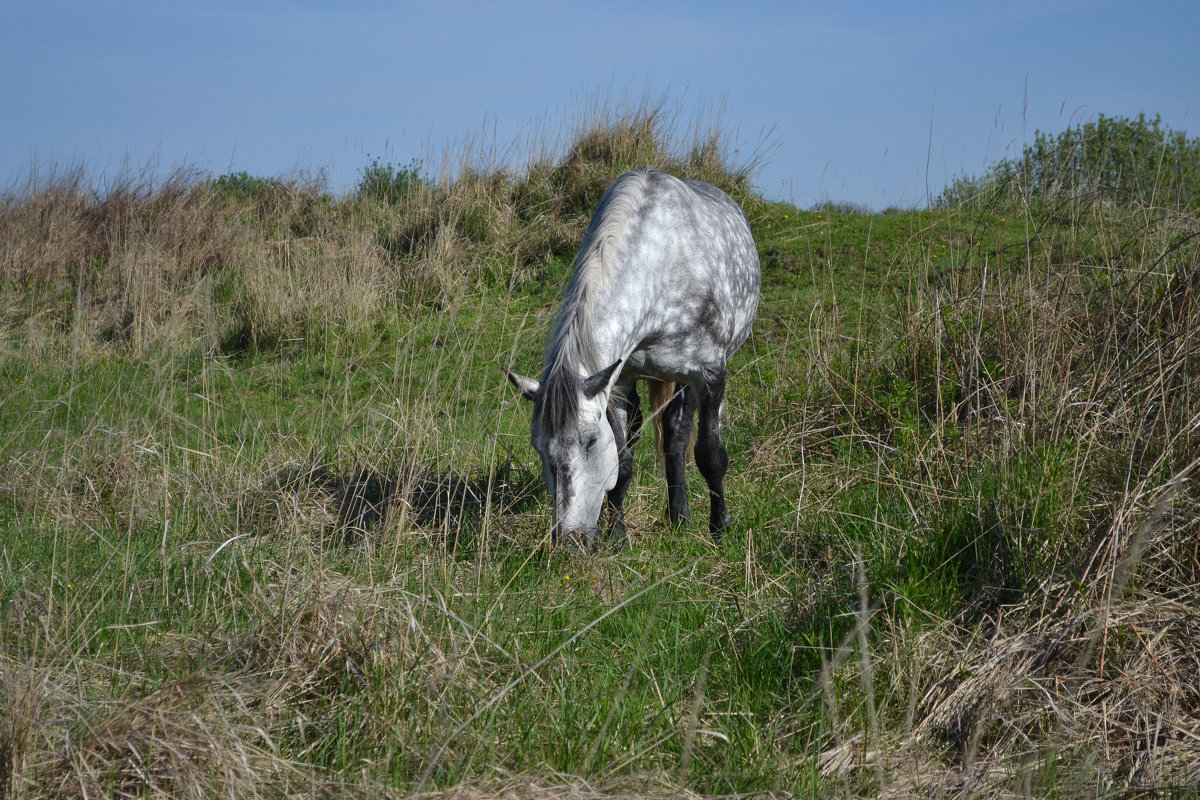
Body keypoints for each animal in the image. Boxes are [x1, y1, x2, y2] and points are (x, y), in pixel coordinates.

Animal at [506, 166, 758, 546]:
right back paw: (677, 515)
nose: (569, 539)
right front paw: (618, 534)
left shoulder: (710, 375)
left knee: (677, 434)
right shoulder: (619, 381)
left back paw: (683, 516)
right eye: (538, 447)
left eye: (591, 441)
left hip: (687, 379)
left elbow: (711, 453)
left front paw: (720, 528)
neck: (666, 264)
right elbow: (623, 462)